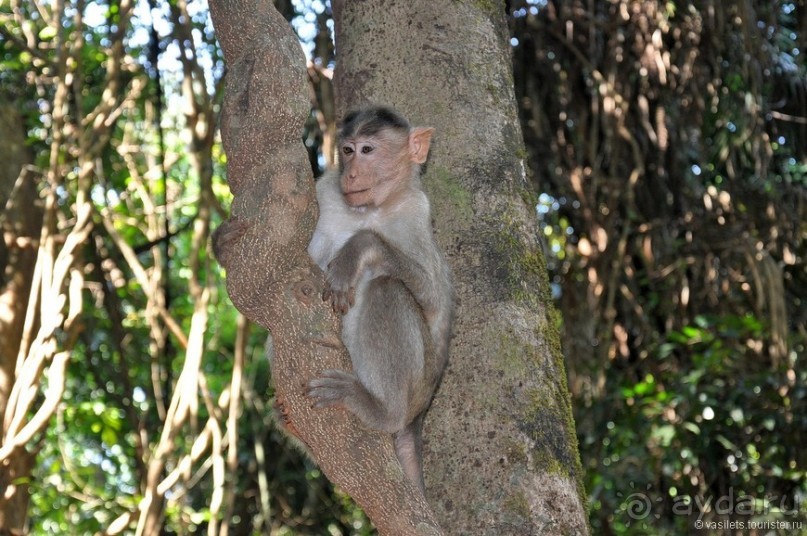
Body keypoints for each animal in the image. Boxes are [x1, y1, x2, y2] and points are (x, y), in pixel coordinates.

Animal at [306, 105, 454, 494]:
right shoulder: (325, 194)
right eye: (347, 150)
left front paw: (357, 249)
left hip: (415, 386)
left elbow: (434, 298)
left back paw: (381, 409)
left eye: (368, 150)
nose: (351, 173)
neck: (369, 209)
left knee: (388, 287)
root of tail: (418, 416)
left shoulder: (417, 210)